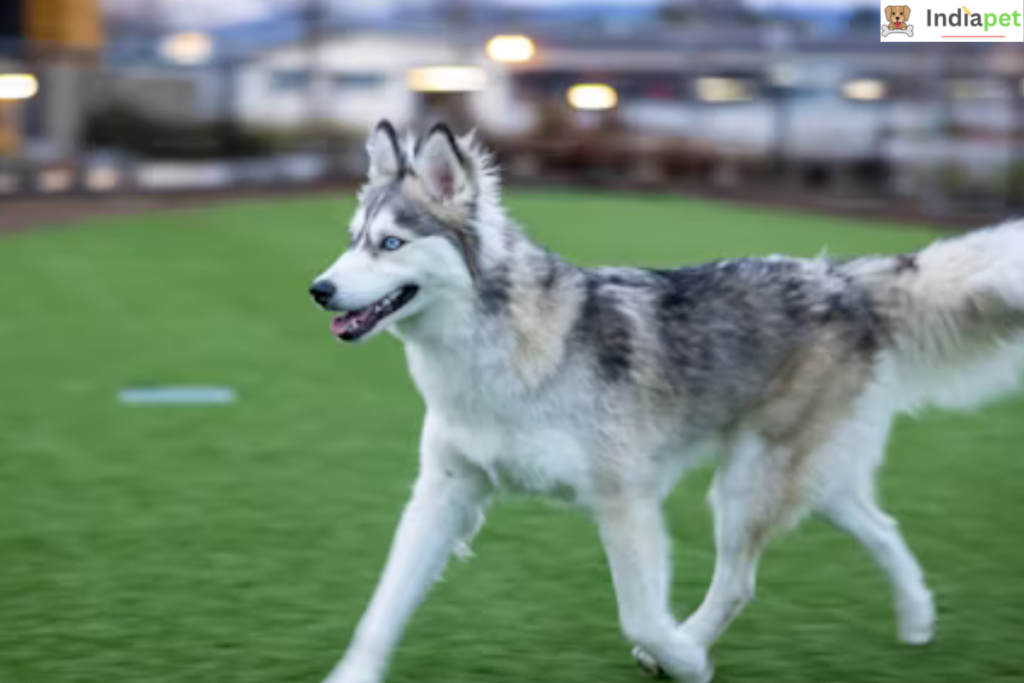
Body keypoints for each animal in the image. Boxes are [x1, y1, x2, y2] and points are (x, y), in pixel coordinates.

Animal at [307, 120, 1024, 679]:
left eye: (391, 243)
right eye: (351, 238)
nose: (319, 289)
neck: (499, 356)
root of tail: (842, 279)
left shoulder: (624, 499)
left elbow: (643, 615)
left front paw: (684, 657)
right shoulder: (446, 492)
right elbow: (382, 608)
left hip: (748, 485)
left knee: (739, 580)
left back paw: (693, 647)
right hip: (811, 483)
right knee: (882, 527)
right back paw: (917, 619)